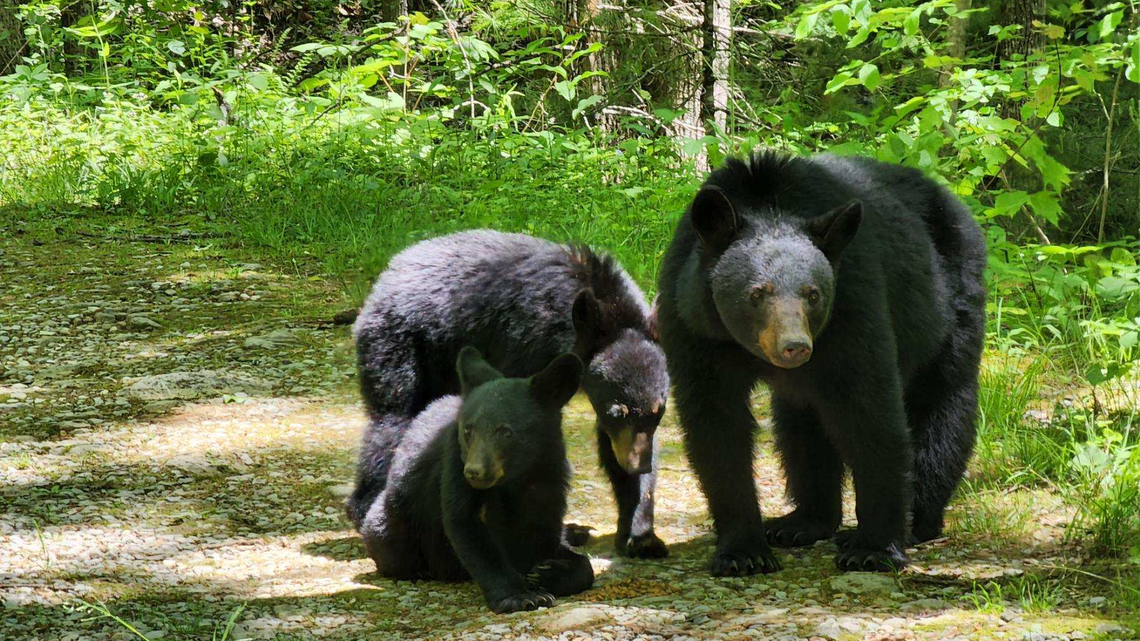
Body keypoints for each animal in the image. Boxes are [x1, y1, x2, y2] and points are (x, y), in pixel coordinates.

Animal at [348, 230, 670, 559]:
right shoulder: (525, 343)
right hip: (399, 344)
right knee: (390, 423)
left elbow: (612, 445)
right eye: (617, 411)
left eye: (659, 411)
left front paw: (640, 535)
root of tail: (388, 273)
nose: (638, 465)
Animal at [361, 347, 593, 613]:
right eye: (468, 430)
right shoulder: (454, 461)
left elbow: (544, 526)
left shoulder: (550, 470)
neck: (517, 477)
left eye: (506, 432)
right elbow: (465, 524)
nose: (474, 471)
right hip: (395, 527)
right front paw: (522, 596)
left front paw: (550, 571)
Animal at [656, 151, 986, 574]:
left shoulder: (852, 302)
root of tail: (952, 201)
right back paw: (802, 523)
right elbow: (716, 424)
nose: (795, 347)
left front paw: (873, 548)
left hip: (951, 304)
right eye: (757, 293)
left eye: (812, 294)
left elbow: (869, 411)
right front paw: (742, 552)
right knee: (802, 426)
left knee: (943, 407)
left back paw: (918, 520)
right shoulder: (693, 324)